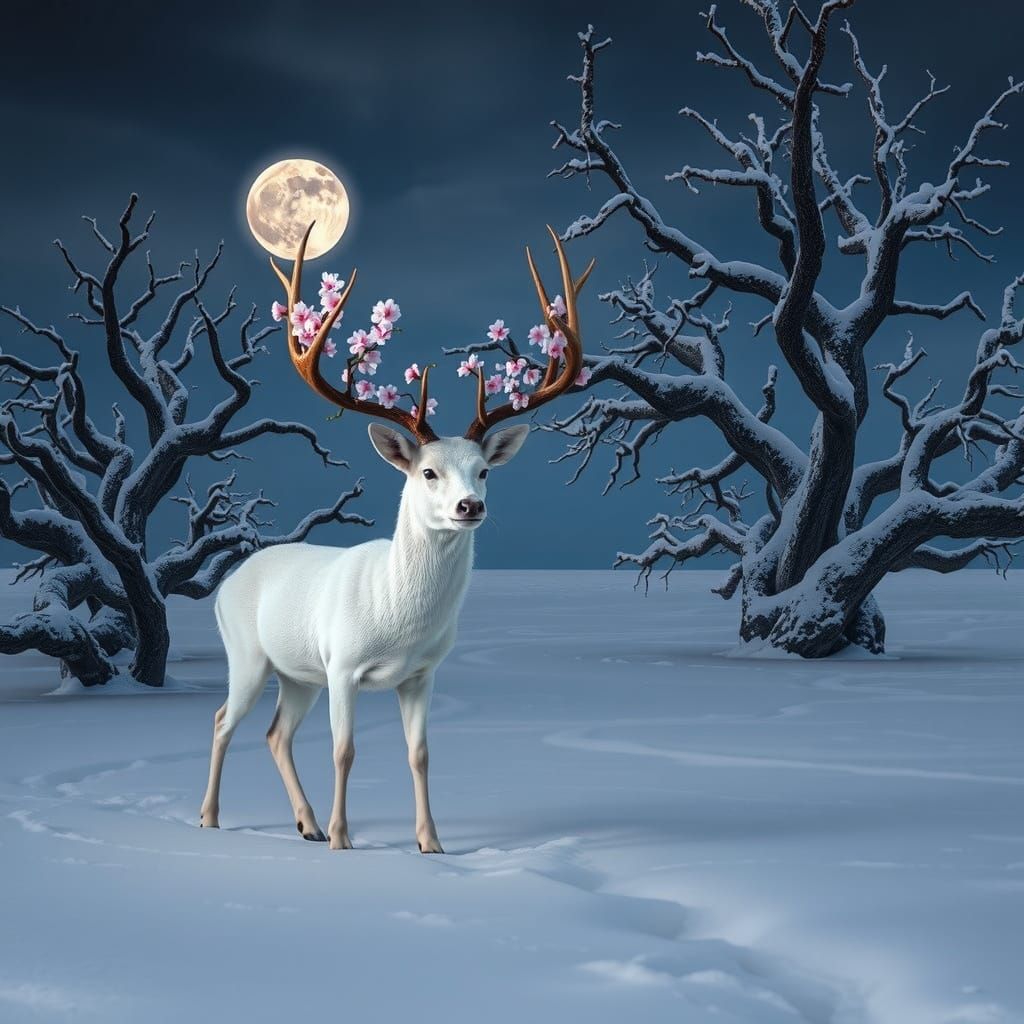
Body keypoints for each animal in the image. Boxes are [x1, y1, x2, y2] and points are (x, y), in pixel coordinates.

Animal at [199, 224, 593, 852]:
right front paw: (344, 840)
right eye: (427, 472)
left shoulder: (422, 674)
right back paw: (213, 819)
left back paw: (306, 825)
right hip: (250, 655)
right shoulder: (342, 664)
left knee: (276, 734)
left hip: (298, 674)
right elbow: (344, 751)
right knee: (222, 721)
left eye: (484, 470)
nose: (470, 506)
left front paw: (430, 843)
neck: (396, 613)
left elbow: (420, 754)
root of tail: (229, 580)